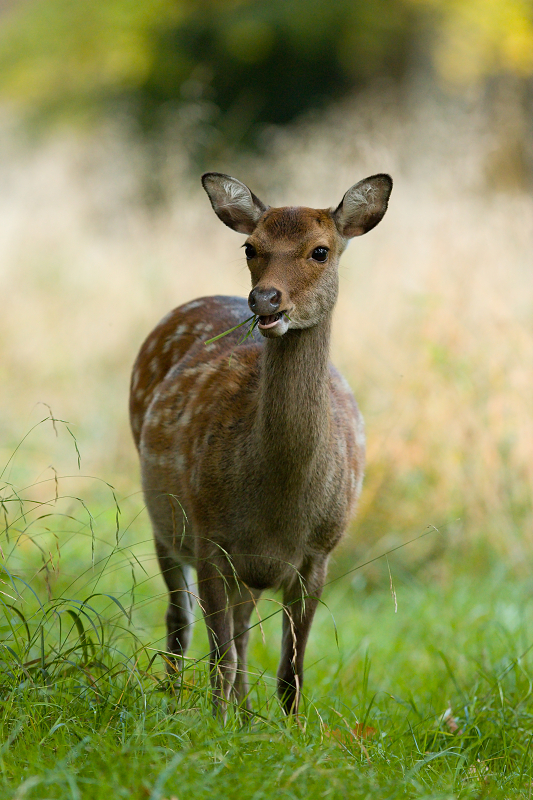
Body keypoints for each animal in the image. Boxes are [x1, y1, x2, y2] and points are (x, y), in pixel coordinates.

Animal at [130, 170, 390, 720]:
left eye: (320, 251)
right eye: (250, 247)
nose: (266, 300)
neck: (279, 505)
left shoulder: (319, 552)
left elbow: (291, 670)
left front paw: (284, 730)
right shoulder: (210, 537)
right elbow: (220, 656)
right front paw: (216, 724)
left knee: (242, 628)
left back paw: (245, 714)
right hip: (165, 517)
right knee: (181, 620)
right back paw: (176, 701)